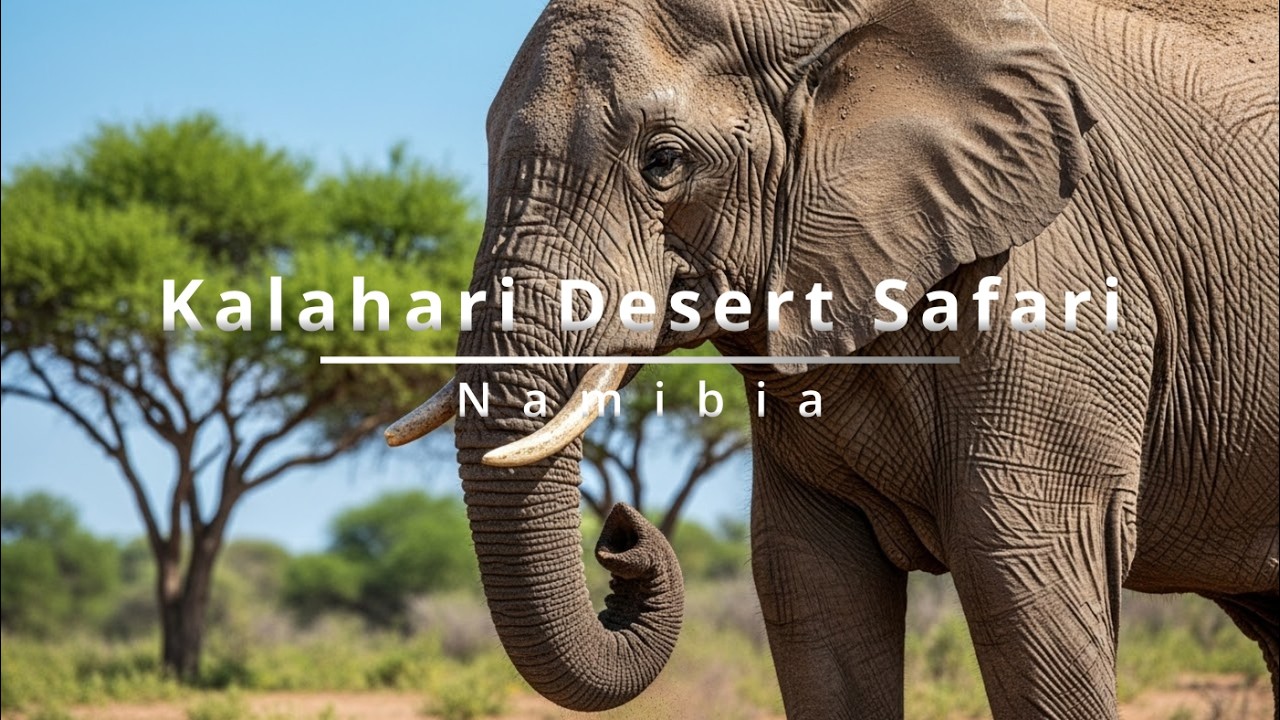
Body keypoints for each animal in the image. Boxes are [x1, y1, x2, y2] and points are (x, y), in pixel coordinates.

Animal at [386, 0, 1279, 717]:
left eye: (663, 160)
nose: (622, 531)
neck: (824, 24)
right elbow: (812, 589)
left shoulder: (1059, 279)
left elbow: (1024, 572)